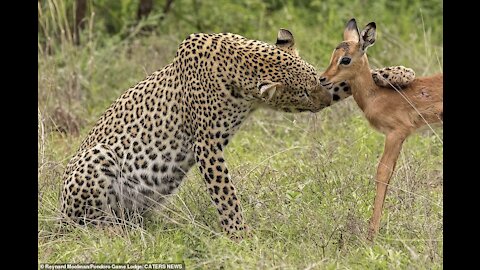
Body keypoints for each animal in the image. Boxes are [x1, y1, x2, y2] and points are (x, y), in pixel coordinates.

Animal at [318, 19, 442, 240]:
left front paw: (371, 233)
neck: (375, 96)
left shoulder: (395, 134)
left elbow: (383, 173)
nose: (323, 78)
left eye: (345, 59)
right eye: (333, 55)